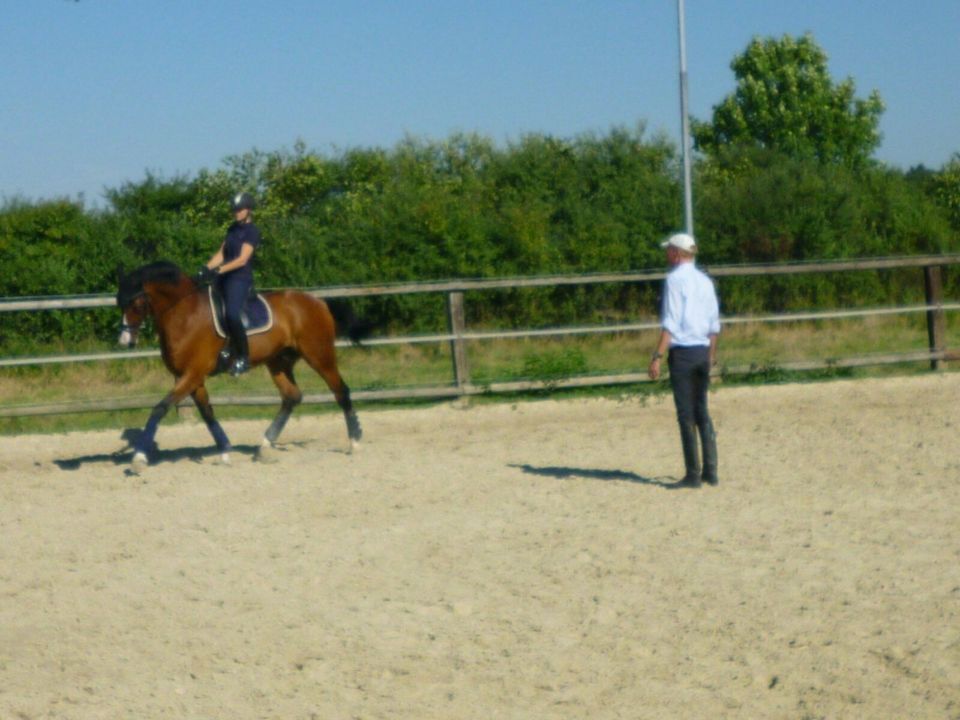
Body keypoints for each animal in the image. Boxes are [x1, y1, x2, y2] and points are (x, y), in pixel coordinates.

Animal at [113, 260, 368, 472]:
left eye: (135, 303)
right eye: (120, 303)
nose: (125, 342)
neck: (185, 314)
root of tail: (318, 301)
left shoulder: (192, 374)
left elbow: (160, 408)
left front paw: (139, 459)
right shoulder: (191, 377)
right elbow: (207, 413)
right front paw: (225, 451)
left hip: (319, 355)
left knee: (340, 391)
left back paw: (355, 441)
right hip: (278, 362)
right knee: (291, 396)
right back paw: (264, 446)